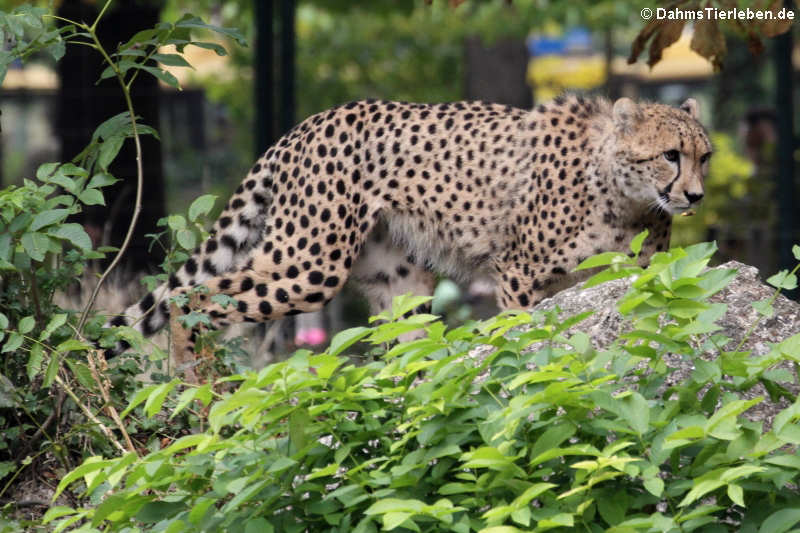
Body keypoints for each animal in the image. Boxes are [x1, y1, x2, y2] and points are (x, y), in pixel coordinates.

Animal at [104, 94, 708, 370]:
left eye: (704, 157)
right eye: (669, 155)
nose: (696, 196)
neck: (622, 193)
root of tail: (303, 126)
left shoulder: (628, 276)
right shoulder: (518, 273)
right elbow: (524, 333)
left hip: (396, 279)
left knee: (406, 351)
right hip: (309, 263)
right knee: (190, 297)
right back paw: (196, 392)